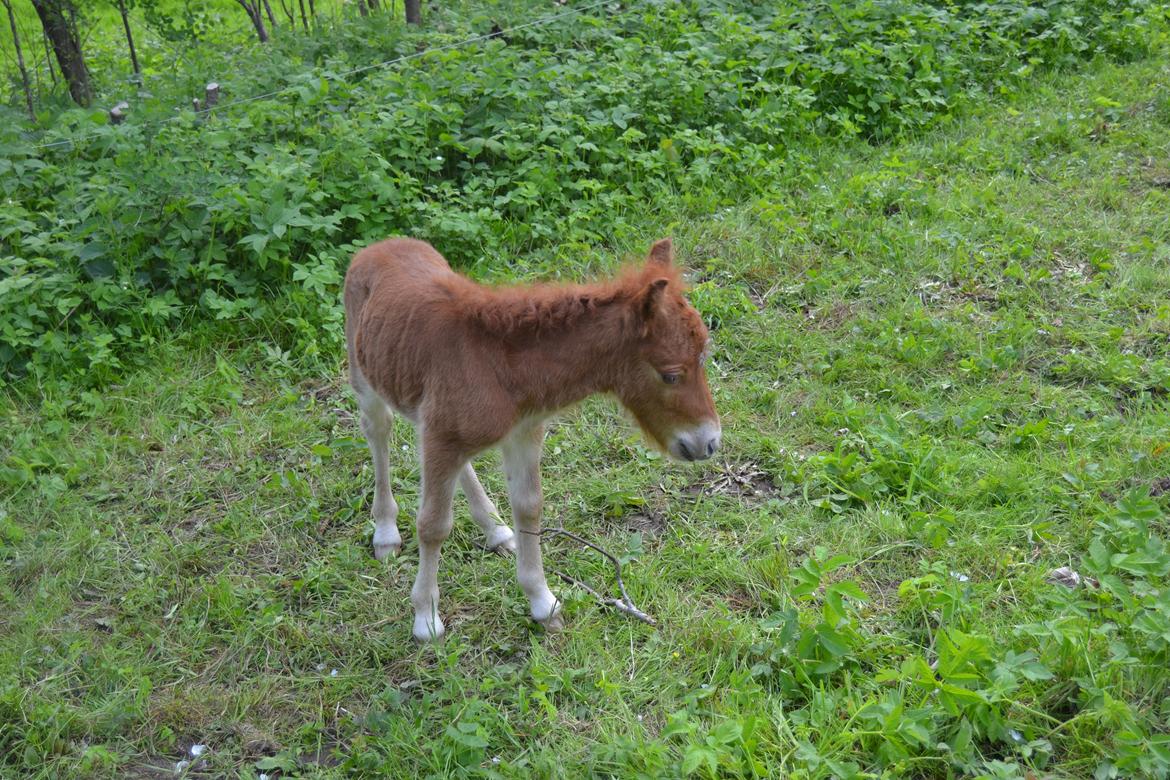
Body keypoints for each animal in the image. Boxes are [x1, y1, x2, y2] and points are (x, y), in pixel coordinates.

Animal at [341, 238, 716, 640]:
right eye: (671, 374)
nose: (709, 442)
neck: (503, 370)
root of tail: (380, 245)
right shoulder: (444, 438)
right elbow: (433, 525)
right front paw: (426, 619)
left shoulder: (520, 433)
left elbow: (529, 506)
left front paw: (542, 602)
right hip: (365, 376)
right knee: (378, 429)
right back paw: (386, 533)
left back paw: (495, 530)